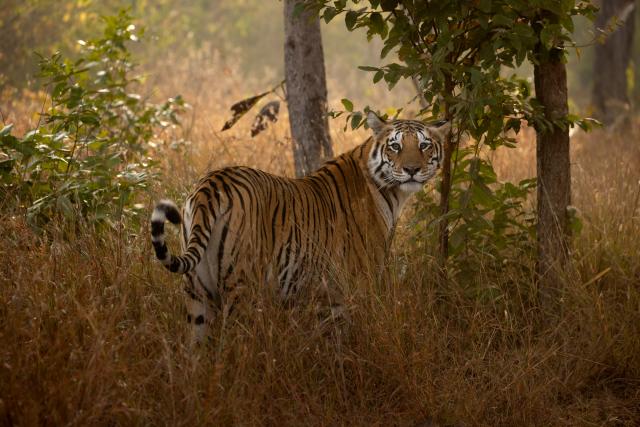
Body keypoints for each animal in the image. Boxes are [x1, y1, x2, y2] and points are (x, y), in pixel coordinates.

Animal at [151, 111, 449, 342]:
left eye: (424, 145)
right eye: (395, 146)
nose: (412, 170)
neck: (390, 191)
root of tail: (211, 184)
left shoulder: (329, 294)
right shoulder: (360, 281)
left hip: (197, 294)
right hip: (241, 289)